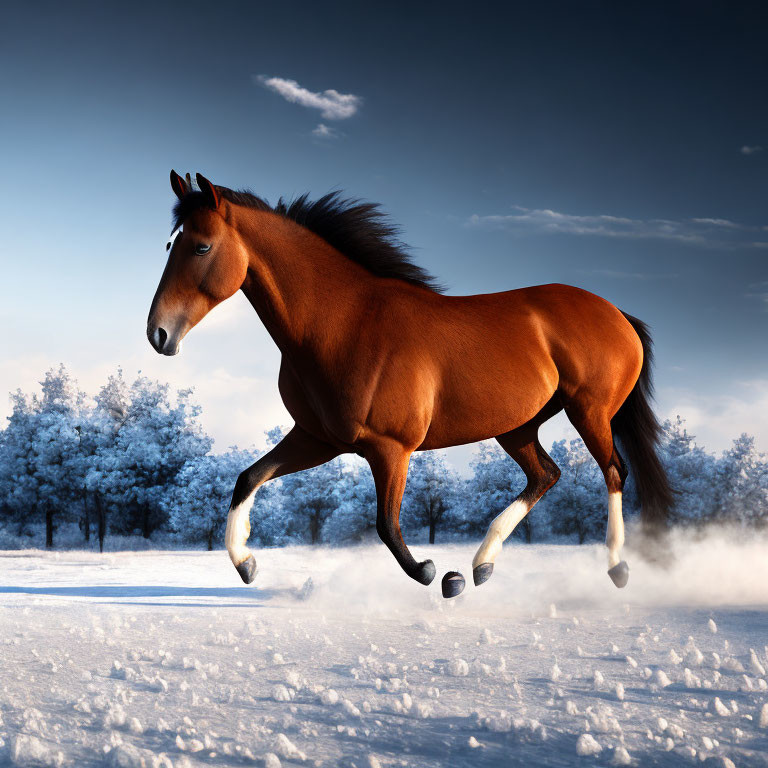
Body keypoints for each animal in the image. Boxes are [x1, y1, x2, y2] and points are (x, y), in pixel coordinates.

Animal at [146, 171, 672, 596]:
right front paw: (247, 564)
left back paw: (616, 568)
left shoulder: (390, 447)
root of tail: (617, 313)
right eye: (169, 245)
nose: (158, 334)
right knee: (546, 474)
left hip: (590, 411)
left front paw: (438, 574)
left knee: (614, 473)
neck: (343, 323)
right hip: (517, 427)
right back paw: (483, 566)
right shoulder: (318, 439)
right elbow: (247, 478)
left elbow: (386, 525)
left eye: (201, 246)